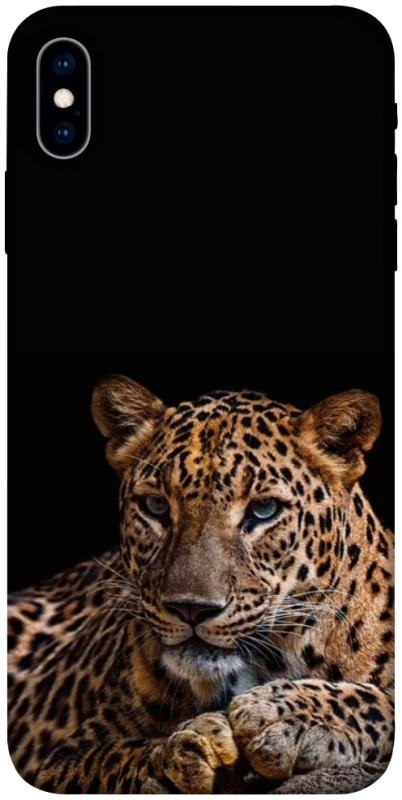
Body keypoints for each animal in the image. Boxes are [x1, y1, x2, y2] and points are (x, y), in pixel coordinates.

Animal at [8, 376, 394, 793]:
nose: (190, 608)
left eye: (263, 510)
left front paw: (286, 715)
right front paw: (184, 753)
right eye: (156, 506)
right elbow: (117, 759)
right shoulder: (63, 760)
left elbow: (381, 702)